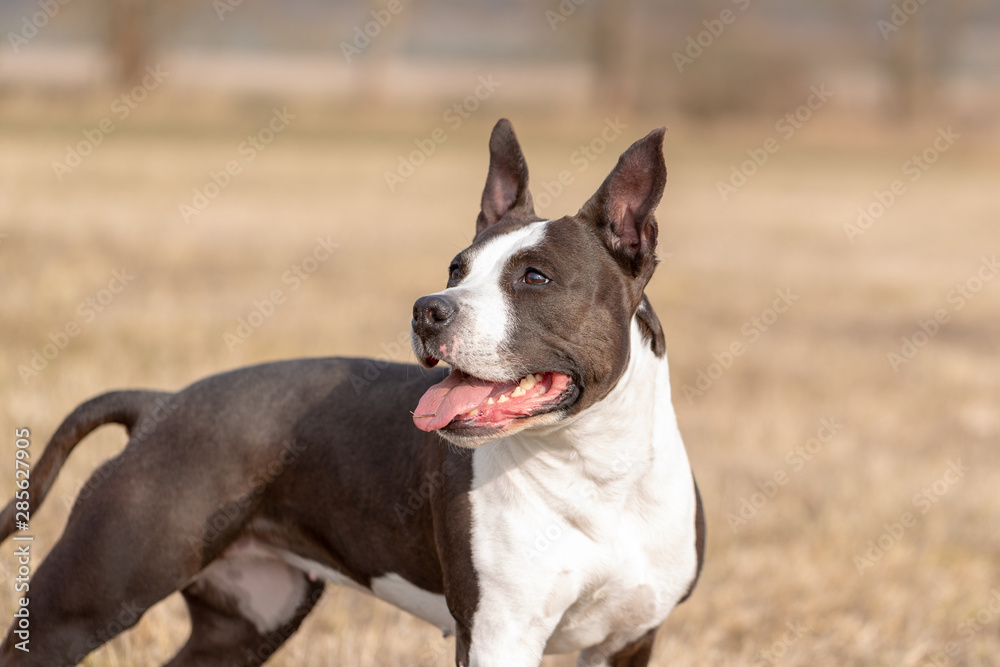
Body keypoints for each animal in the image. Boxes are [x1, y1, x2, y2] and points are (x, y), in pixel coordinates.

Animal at [0, 121, 704, 667]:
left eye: (536, 277)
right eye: (457, 269)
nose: (429, 309)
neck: (593, 467)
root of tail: (159, 403)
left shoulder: (628, 640)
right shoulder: (499, 635)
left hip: (251, 618)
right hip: (86, 602)